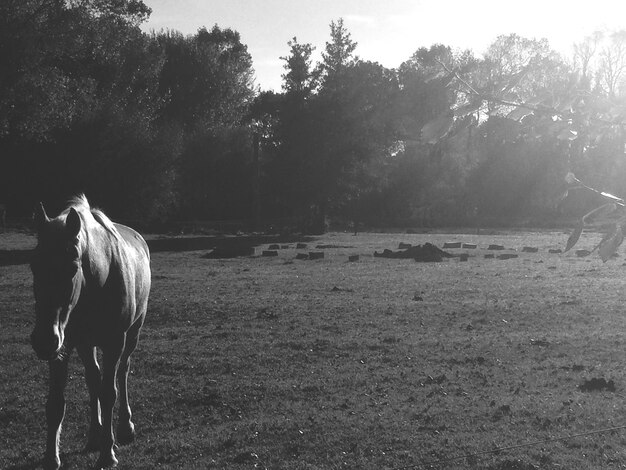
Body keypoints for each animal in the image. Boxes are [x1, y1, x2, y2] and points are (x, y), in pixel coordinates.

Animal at [29, 193, 151, 468]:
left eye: (73, 268)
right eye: (33, 266)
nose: (43, 340)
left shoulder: (114, 342)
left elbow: (109, 394)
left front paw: (108, 454)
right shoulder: (63, 346)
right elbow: (56, 403)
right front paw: (51, 458)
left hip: (132, 334)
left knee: (122, 372)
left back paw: (125, 428)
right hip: (85, 343)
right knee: (93, 379)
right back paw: (95, 435)